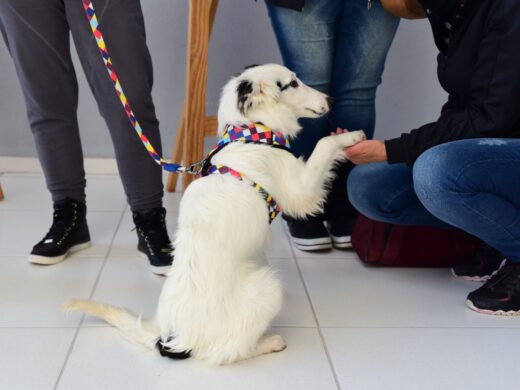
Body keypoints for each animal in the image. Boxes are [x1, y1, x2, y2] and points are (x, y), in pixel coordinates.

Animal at [65, 64, 366, 366]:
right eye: (292, 84)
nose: (331, 100)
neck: (252, 132)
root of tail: (170, 339)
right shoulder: (300, 191)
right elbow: (324, 144)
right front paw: (350, 137)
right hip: (269, 288)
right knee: (227, 352)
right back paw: (269, 342)